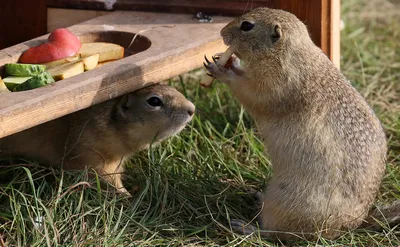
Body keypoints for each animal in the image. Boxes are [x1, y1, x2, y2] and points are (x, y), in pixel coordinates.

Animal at [203, 7, 394, 241]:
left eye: (247, 26)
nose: (222, 32)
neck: (290, 54)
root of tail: (350, 226)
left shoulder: (275, 86)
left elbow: (249, 92)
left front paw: (222, 70)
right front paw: (230, 62)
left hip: (282, 204)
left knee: (275, 233)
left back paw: (245, 227)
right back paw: (257, 198)